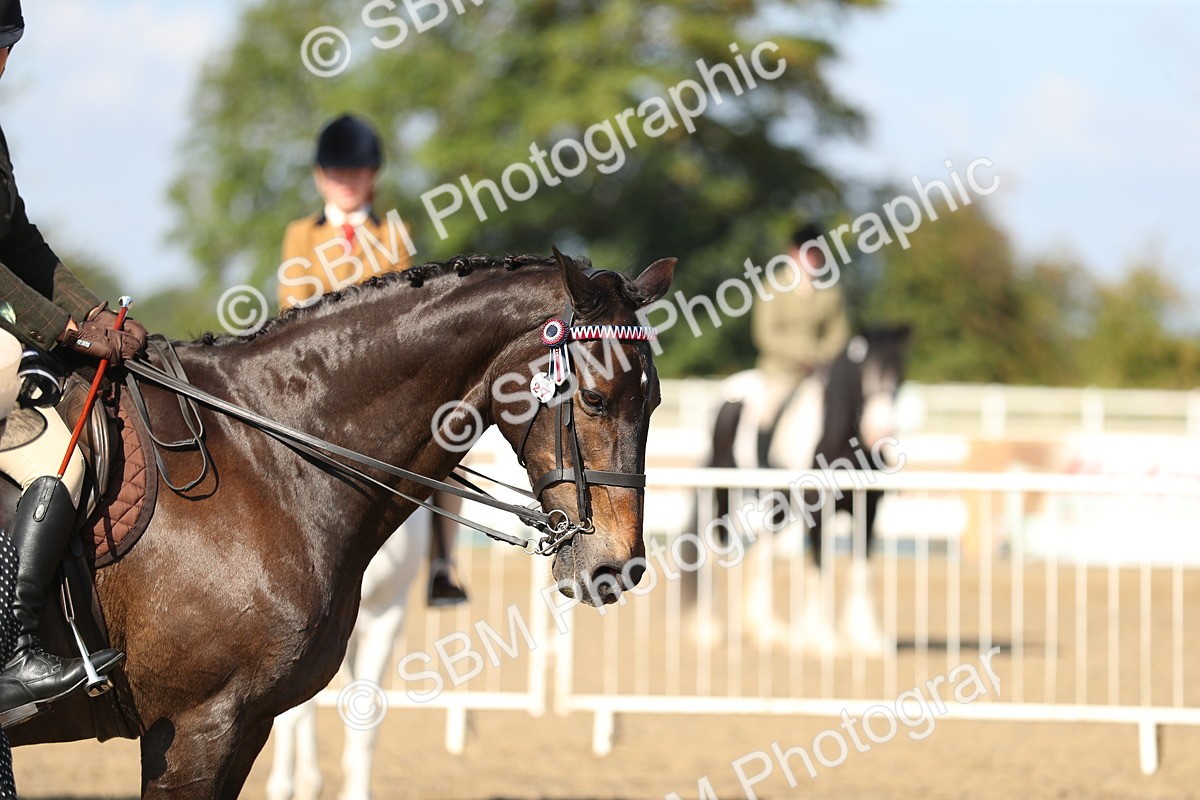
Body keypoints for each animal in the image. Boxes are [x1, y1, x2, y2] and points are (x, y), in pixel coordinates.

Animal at [3, 250, 675, 799]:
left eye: (655, 401)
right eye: (594, 398)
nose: (617, 566)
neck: (266, 455)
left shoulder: (245, 725)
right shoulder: (195, 726)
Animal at [684, 326, 910, 653]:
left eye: (900, 372)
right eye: (861, 372)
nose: (879, 432)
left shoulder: (868, 511)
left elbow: (862, 568)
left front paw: (866, 637)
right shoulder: (817, 510)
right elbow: (820, 565)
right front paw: (821, 637)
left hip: (779, 508)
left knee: (764, 555)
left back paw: (767, 631)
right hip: (726, 497)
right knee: (716, 551)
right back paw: (708, 629)